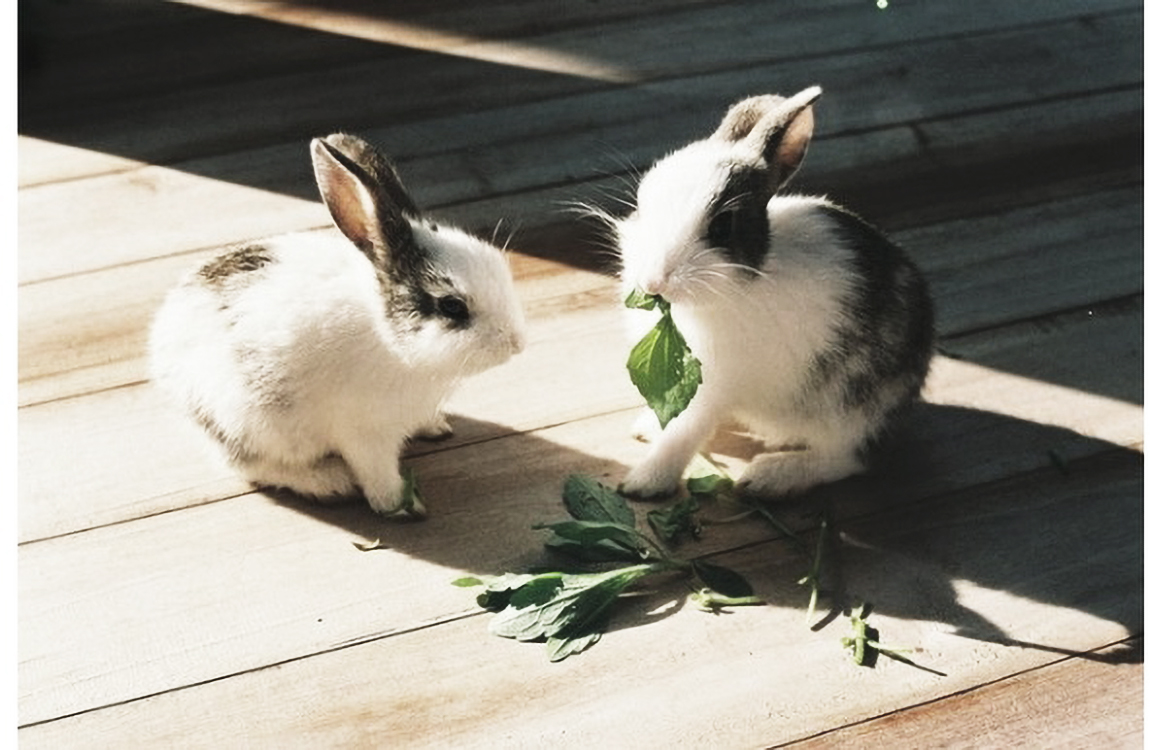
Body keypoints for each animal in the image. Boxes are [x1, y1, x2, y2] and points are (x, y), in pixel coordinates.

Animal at [149, 131, 529, 515]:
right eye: (452, 306)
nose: (516, 343)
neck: (390, 341)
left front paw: (435, 428)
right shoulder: (365, 434)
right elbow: (378, 477)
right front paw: (403, 506)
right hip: (248, 425)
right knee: (253, 466)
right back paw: (330, 482)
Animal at [611, 86, 933, 496]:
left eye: (722, 226)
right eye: (641, 202)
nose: (653, 282)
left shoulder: (711, 387)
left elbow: (683, 434)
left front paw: (643, 483)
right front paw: (647, 430)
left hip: (851, 409)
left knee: (848, 458)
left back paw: (769, 476)